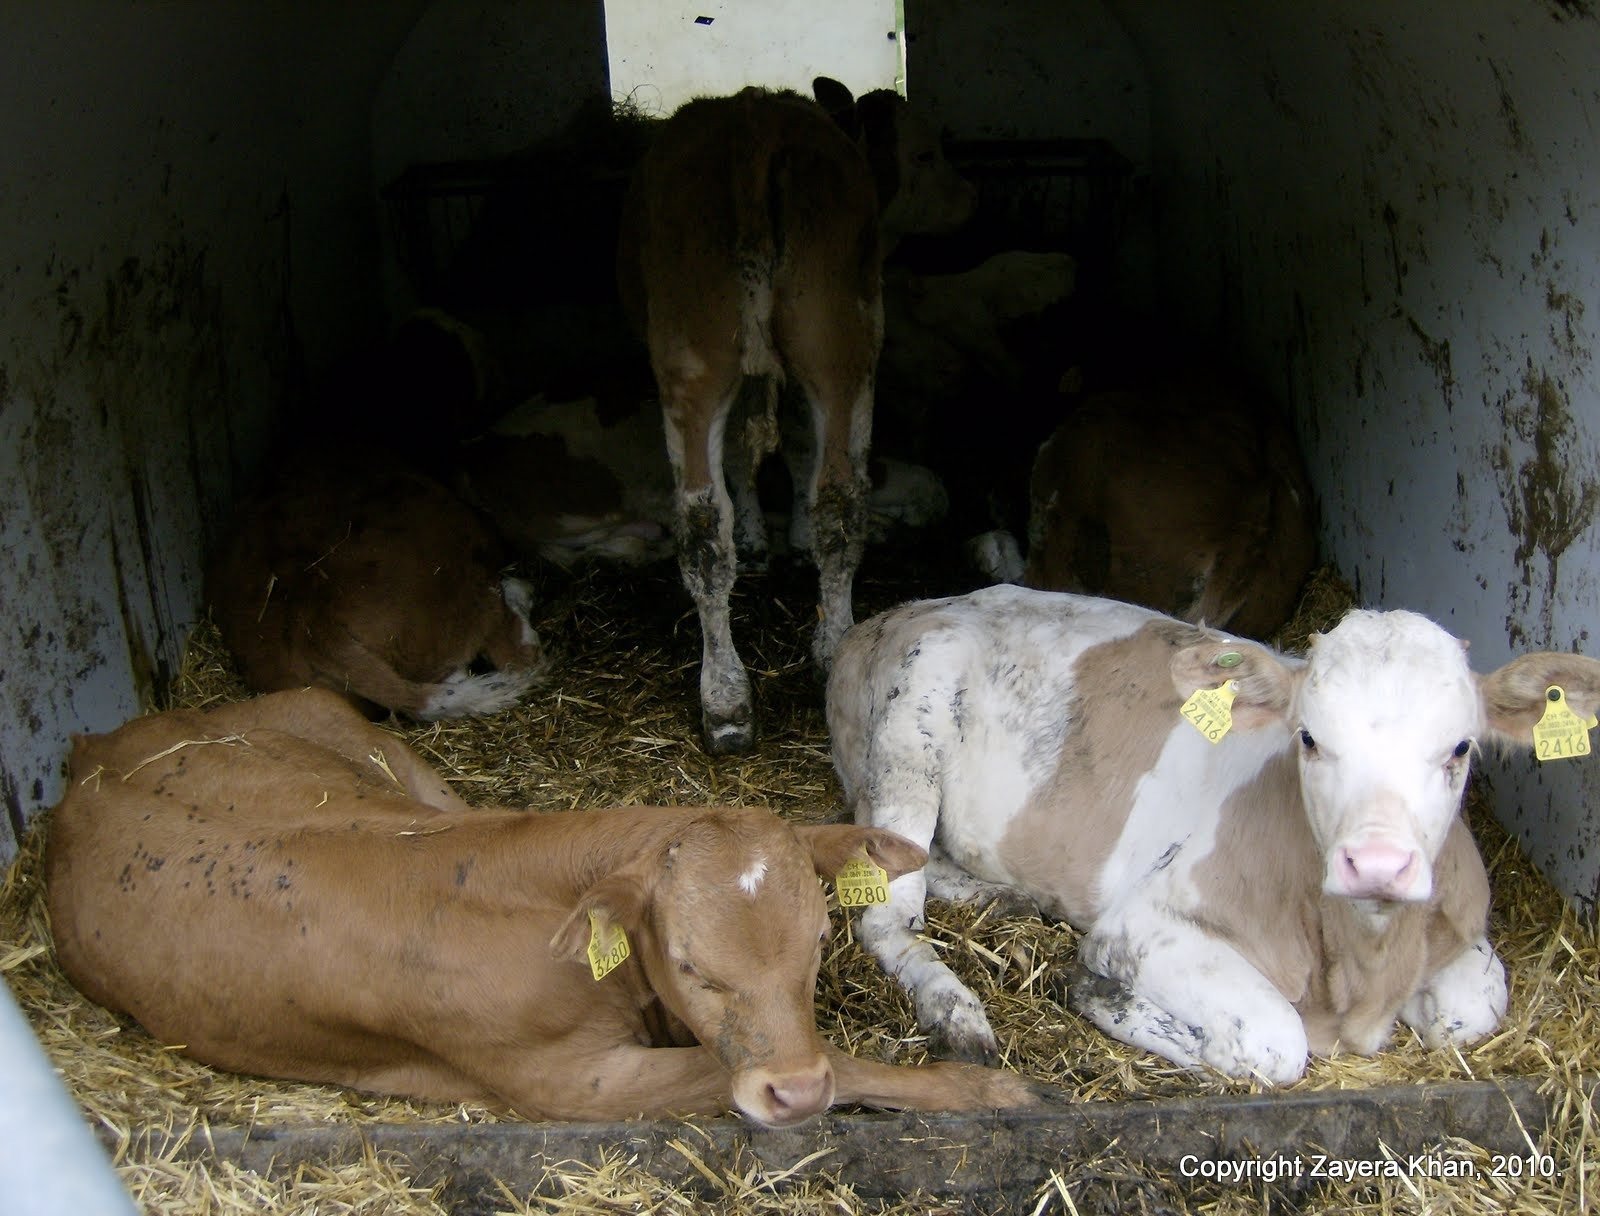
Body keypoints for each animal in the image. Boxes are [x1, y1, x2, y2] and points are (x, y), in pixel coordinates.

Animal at [43, 688, 1047, 1125]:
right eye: (692, 963)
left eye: (814, 948)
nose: (792, 1092)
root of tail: (95, 749)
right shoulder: (565, 1084)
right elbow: (806, 1065)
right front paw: (987, 1088)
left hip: (392, 759)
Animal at [616, 78, 974, 755]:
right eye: (924, 154)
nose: (968, 201)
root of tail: (752, 117)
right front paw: (777, 539)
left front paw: (765, 539)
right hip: (835, 339)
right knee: (827, 496)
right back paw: (798, 666)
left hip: (704, 350)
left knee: (714, 516)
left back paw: (732, 692)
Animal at [827, 584, 1600, 1081]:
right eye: (1309, 738)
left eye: (1460, 748)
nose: (1378, 863)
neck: (1359, 968)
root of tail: (893, 613)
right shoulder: (1140, 926)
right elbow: (1278, 1043)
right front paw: (1102, 997)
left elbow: (1475, 1006)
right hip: (909, 729)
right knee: (886, 913)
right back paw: (958, 1013)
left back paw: (1009, 898)